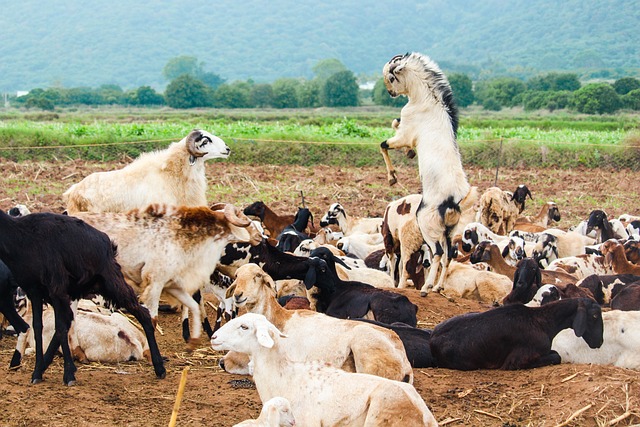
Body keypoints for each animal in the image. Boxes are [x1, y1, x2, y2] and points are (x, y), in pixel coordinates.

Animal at [0, 209, 165, 385]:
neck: (21, 236)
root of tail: (107, 242)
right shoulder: (34, 290)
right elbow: (38, 327)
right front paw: (37, 372)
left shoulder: (56, 288)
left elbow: (60, 327)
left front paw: (68, 375)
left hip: (111, 282)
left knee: (143, 313)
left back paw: (159, 367)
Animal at [381, 52, 478, 296]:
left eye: (392, 77)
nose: (391, 93)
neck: (428, 99)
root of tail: (453, 200)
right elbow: (394, 123)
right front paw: (409, 153)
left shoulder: (406, 133)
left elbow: (384, 143)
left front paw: (393, 176)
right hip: (449, 231)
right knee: (448, 256)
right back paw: (438, 287)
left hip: (427, 224)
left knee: (436, 254)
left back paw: (426, 287)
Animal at [429, 297, 604, 370]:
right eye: (595, 315)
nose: (599, 342)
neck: (544, 322)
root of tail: (432, 340)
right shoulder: (516, 361)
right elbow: (556, 356)